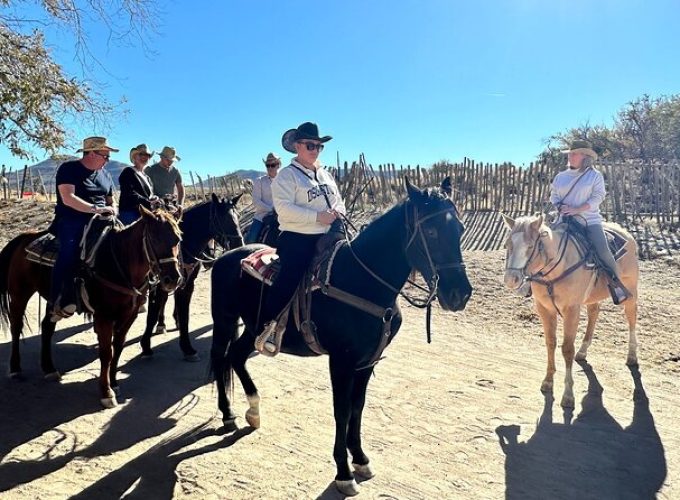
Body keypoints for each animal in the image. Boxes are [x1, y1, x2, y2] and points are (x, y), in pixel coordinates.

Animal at [0, 206, 182, 406]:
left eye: (178, 238)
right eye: (154, 238)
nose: (172, 279)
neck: (118, 263)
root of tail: (24, 237)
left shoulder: (129, 315)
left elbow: (118, 347)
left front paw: (114, 383)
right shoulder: (104, 316)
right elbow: (106, 353)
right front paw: (106, 392)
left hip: (53, 299)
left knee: (47, 327)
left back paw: (49, 368)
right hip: (20, 294)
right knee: (16, 326)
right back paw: (15, 368)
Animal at [139, 191, 243, 360]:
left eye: (237, 216)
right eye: (222, 218)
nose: (239, 245)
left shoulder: (187, 283)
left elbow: (185, 315)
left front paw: (187, 348)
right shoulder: (157, 284)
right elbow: (152, 313)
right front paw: (146, 346)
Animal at [211, 178, 472, 494]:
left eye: (460, 228)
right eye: (431, 232)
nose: (460, 294)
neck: (361, 281)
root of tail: (224, 258)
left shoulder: (367, 361)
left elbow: (358, 408)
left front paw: (360, 458)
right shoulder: (341, 362)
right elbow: (342, 411)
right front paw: (343, 472)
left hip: (252, 328)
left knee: (236, 356)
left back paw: (253, 410)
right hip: (225, 321)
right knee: (220, 358)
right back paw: (227, 414)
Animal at [500, 213, 636, 408]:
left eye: (530, 246)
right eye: (507, 244)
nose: (511, 279)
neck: (557, 269)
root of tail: (626, 233)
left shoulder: (571, 311)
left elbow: (567, 349)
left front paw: (568, 395)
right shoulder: (544, 309)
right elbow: (550, 343)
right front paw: (548, 381)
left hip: (631, 291)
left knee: (631, 317)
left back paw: (632, 356)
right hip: (592, 297)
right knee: (594, 313)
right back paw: (583, 351)